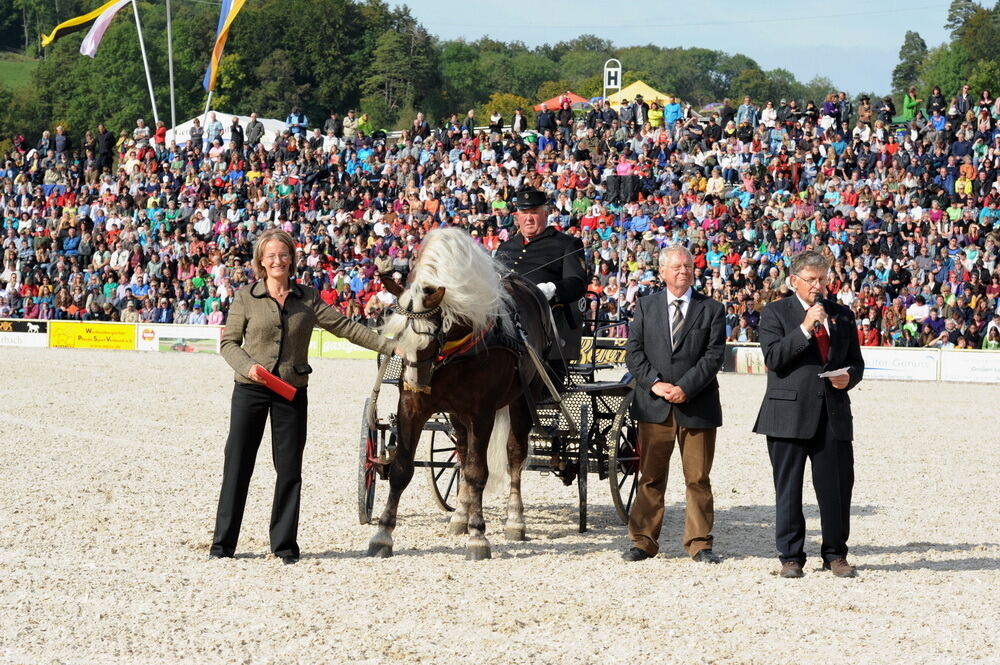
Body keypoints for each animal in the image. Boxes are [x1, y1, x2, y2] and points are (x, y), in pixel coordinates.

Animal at [372, 228, 552, 560]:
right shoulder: (412, 407)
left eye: (431, 337)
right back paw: (460, 515)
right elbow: (402, 468)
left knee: (514, 454)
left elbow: (478, 471)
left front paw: (478, 536)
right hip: (456, 413)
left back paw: (515, 520)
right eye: (400, 333)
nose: (416, 382)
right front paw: (382, 535)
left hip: (522, 399)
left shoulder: (482, 412)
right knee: (463, 452)